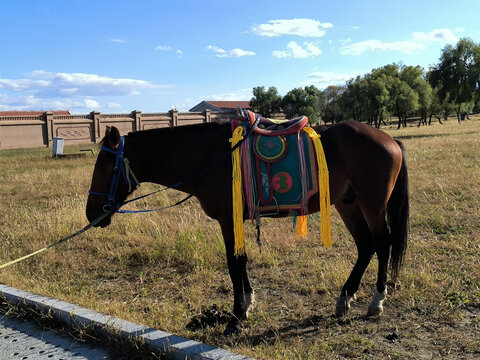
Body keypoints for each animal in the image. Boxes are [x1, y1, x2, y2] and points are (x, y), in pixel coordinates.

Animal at [86, 119, 408, 334]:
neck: (210, 156)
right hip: (348, 203)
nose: (91, 213)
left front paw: (236, 317)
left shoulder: (229, 221)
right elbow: (241, 262)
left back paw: (376, 301)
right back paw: (344, 299)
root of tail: (390, 139)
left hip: (371, 204)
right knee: (366, 246)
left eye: (103, 165)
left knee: (383, 243)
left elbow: (234, 263)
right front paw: (247, 305)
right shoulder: (234, 222)